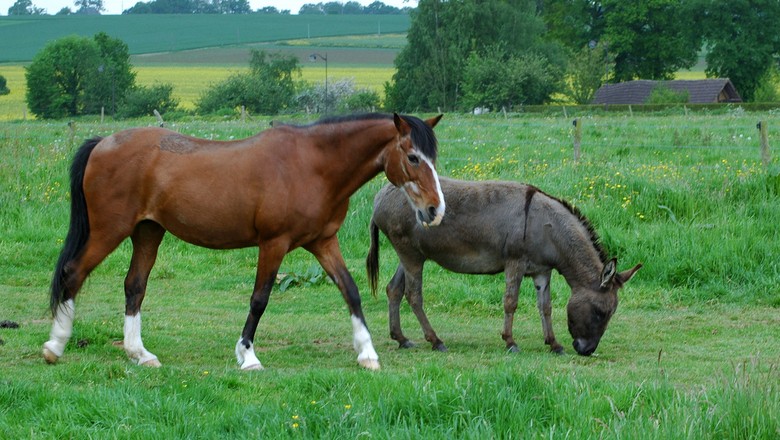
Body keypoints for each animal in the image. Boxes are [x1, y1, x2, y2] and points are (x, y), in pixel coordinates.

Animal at [44, 111, 444, 370]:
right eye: (413, 157)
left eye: (433, 158)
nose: (435, 210)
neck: (311, 165)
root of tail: (103, 142)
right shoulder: (274, 243)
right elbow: (259, 299)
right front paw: (248, 355)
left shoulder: (323, 242)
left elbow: (351, 291)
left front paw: (367, 353)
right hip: (109, 230)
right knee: (72, 273)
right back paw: (55, 346)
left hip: (147, 232)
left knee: (134, 286)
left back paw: (140, 354)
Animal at [366, 177, 640, 356]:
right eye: (600, 312)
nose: (587, 351)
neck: (548, 227)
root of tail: (381, 194)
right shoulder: (515, 262)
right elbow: (511, 302)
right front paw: (510, 342)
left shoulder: (542, 271)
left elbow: (546, 307)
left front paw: (553, 344)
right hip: (410, 254)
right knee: (413, 295)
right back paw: (435, 341)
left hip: (412, 254)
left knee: (394, 290)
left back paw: (401, 338)